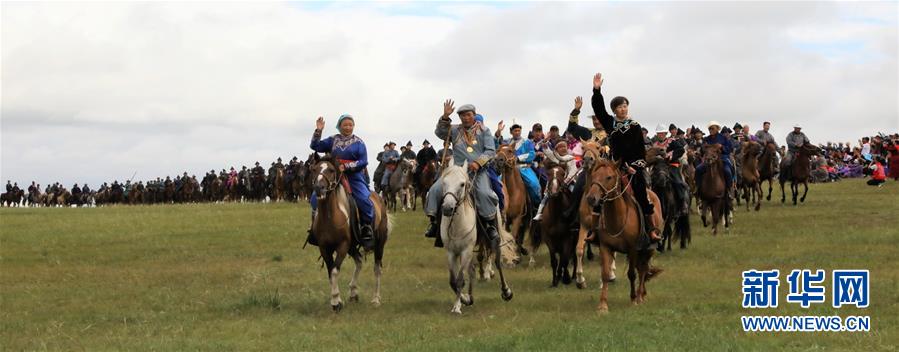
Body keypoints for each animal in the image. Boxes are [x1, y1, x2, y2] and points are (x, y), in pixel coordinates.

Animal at [310, 155, 390, 312]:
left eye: (331, 170)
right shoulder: (324, 248)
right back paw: (353, 292)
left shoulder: (342, 246)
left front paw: (336, 302)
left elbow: (335, 271)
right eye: (315, 169)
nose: (318, 188)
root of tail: (379, 199)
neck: (330, 216)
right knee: (359, 261)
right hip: (352, 246)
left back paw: (376, 299)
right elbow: (330, 272)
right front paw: (337, 299)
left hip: (379, 245)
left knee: (377, 269)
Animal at [436, 164, 512, 314]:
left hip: (494, 240)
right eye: (444, 183)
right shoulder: (451, 252)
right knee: (471, 270)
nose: (447, 208)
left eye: (462, 184)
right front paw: (464, 299)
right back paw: (470, 297)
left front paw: (457, 307)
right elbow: (453, 281)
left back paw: (506, 291)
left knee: (497, 263)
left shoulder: (466, 250)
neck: (457, 224)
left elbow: (460, 280)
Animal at [588, 158, 664, 312]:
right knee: (641, 268)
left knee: (643, 269)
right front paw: (603, 305)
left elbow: (631, 274)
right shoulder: (605, 247)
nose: (591, 198)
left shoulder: (633, 249)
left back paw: (640, 296)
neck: (618, 217)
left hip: (649, 249)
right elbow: (605, 274)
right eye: (593, 176)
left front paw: (633, 299)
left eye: (609, 177)